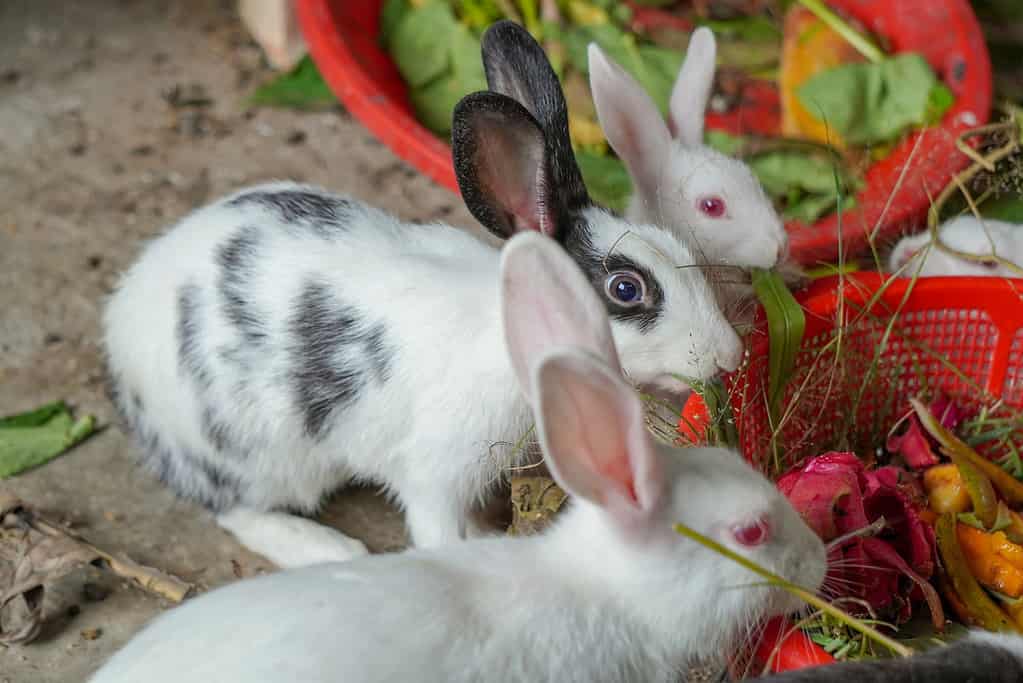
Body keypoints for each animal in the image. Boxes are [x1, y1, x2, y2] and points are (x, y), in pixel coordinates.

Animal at [101, 21, 744, 568]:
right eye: (626, 288)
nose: (729, 354)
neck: (512, 326)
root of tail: (121, 337)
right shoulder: (434, 474)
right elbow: (436, 531)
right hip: (256, 456)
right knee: (235, 510)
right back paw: (325, 548)